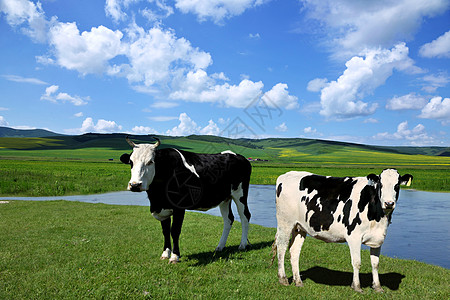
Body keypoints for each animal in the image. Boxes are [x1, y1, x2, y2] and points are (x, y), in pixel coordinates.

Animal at [119, 137, 253, 264]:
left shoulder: (179, 207)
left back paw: (242, 245)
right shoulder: (163, 208)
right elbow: (165, 231)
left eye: (150, 161)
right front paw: (165, 254)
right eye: (131, 162)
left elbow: (175, 231)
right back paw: (220, 246)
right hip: (225, 198)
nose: (135, 185)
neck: (157, 197)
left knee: (245, 216)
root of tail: (238, 156)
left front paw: (174, 256)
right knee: (228, 219)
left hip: (240, 193)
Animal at [272, 169, 414, 292]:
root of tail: (287, 174)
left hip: (300, 227)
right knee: (282, 248)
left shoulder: (377, 238)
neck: (377, 215)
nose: (389, 203)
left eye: (397, 185)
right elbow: (357, 262)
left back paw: (298, 281)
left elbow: (375, 264)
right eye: (381, 184)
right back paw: (283, 279)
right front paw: (357, 287)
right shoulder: (354, 236)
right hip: (285, 223)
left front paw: (378, 287)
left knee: (294, 251)